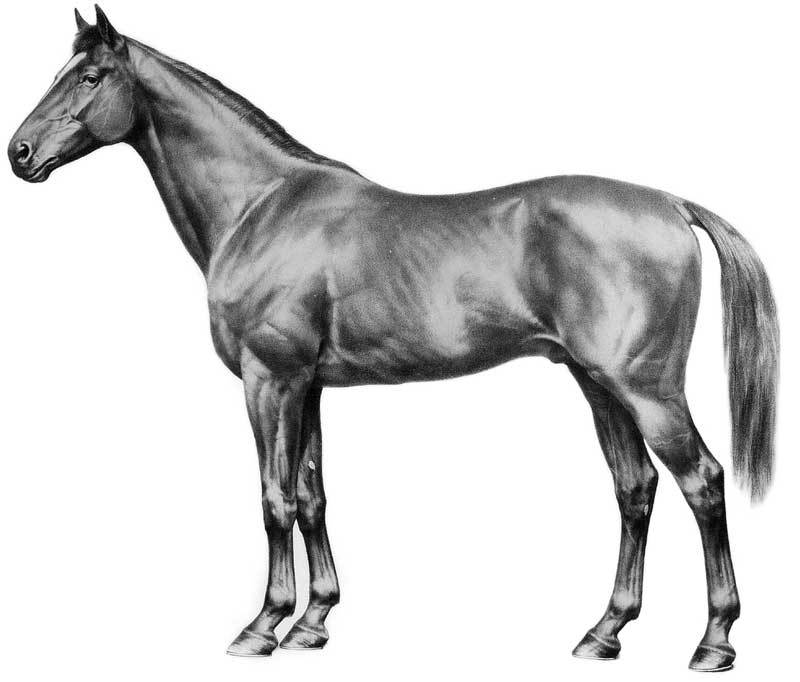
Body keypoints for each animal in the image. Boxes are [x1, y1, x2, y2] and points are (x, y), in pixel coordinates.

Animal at [8, 7, 778, 672]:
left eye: (89, 77)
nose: (19, 152)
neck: (261, 207)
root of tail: (670, 205)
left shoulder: (269, 380)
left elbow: (273, 498)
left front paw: (263, 625)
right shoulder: (309, 386)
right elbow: (312, 494)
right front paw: (313, 622)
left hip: (646, 389)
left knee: (702, 482)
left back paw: (713, 642)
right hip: (596, 384)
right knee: (635, 489)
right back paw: (603, 632)